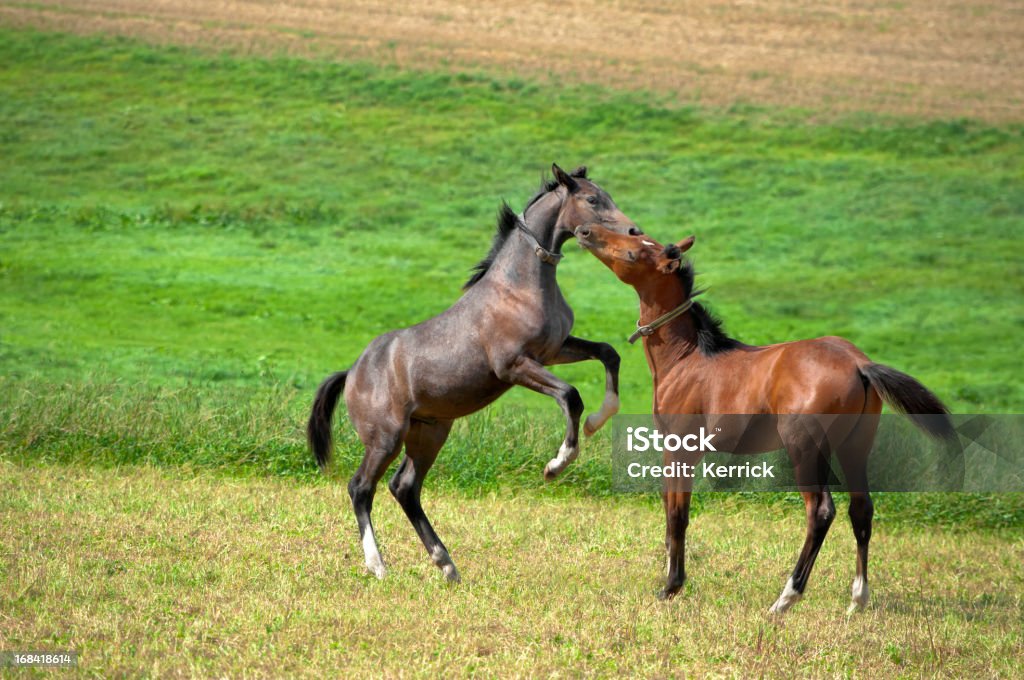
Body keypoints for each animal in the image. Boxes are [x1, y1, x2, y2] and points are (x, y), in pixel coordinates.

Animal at [577, 225, 950, 614]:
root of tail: (859, 364)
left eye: (634, 252)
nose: (585, 231)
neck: (688, 357)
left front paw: (671, 587)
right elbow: (669, 512)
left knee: (820, 511)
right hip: (855, 446)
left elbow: (678, 513)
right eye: (635, 234)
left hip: (805, 449)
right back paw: (857, 600)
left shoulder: (681, 447)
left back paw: (785, 599)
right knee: (861, 509)